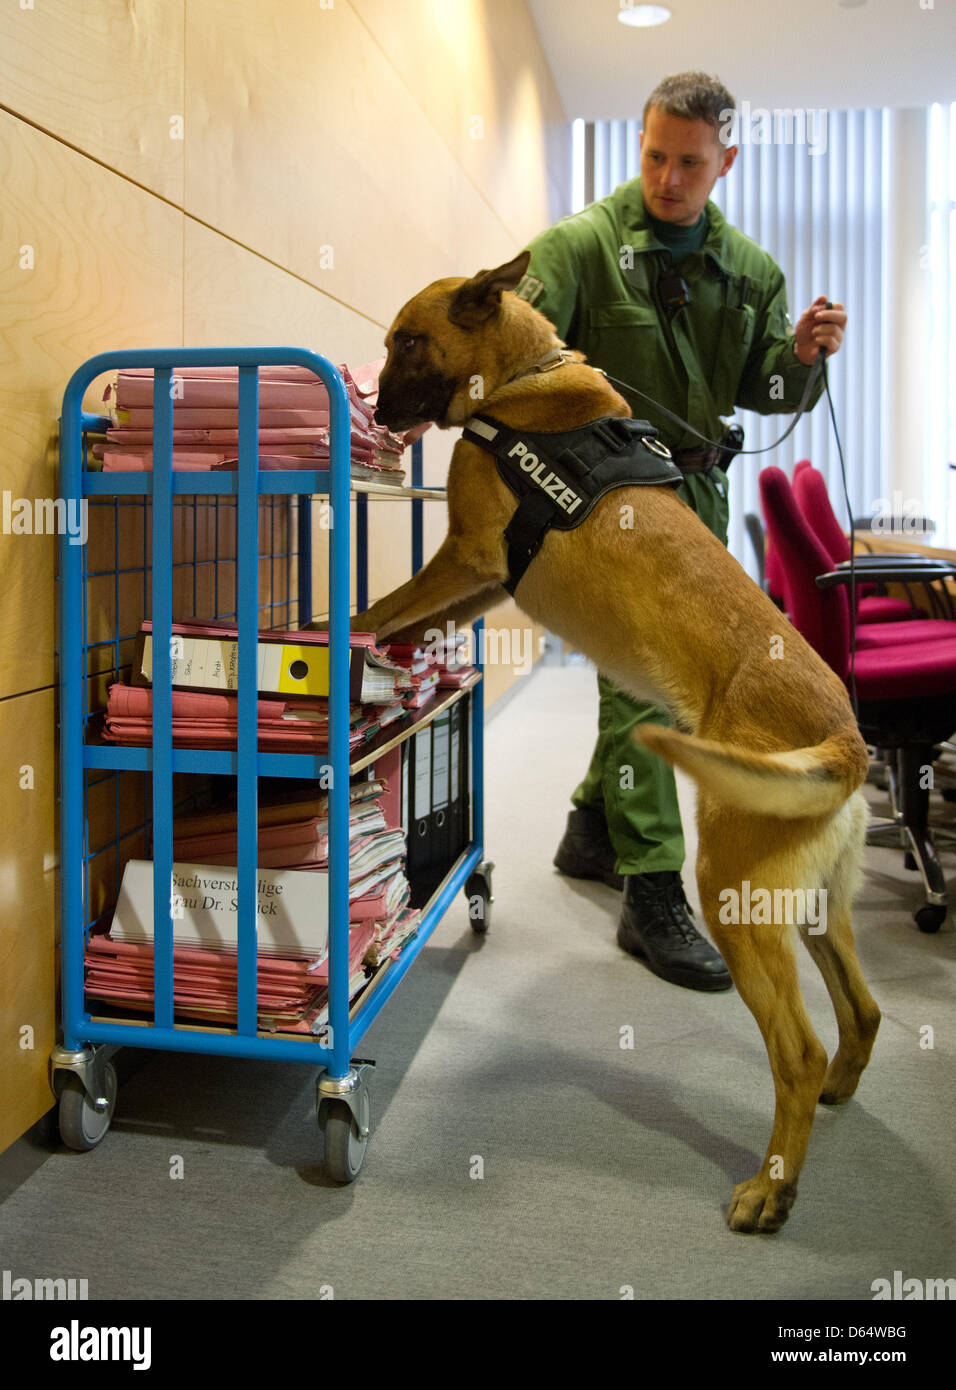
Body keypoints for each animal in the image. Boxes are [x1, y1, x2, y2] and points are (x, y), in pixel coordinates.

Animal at [326, 255, 883, 1234]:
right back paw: (834, 1103)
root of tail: (846, 741)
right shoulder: (483, 582)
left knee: (801, 1050)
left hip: (738, 899)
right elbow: (409, 623)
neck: (521, 382)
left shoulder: (465, 559)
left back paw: (772, 1186)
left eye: (408, 341)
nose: (382, 412)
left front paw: (338, 637)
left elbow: (383, 608)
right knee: (863, 1013)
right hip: (813, 905)